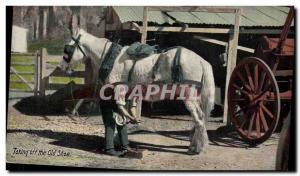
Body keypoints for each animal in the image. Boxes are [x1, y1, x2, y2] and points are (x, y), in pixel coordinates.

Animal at [57, 28, 214, 155]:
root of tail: (202, 61)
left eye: (67, 48)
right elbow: (122, 116)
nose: (61, 67)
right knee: (199, 119)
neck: (110, 57)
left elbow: (116, 116)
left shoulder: (118, 90)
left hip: (189, 96)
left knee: (199, 119)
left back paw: (196, 148)